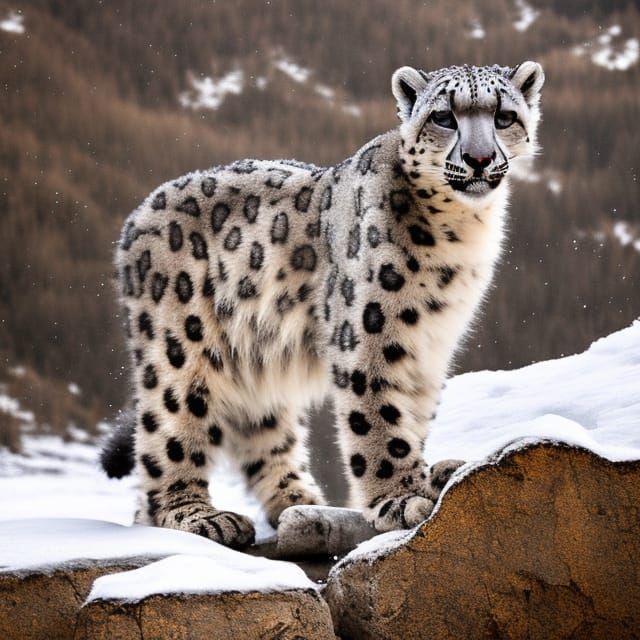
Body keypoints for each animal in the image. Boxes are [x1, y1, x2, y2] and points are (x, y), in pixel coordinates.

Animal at [101, 61, 544, 549]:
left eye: (504, 116)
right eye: (444, 117)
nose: (478, 158)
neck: (460, 237)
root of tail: (136, 217)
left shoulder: (430, 346)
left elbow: (413, 416)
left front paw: (427, 478)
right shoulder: (370, 330)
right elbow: (379, 417)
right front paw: (400, 500)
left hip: (257, 359)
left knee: (264, 431)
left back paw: (301, 503)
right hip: (178, 347)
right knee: (168, 432)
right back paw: (199, 517)